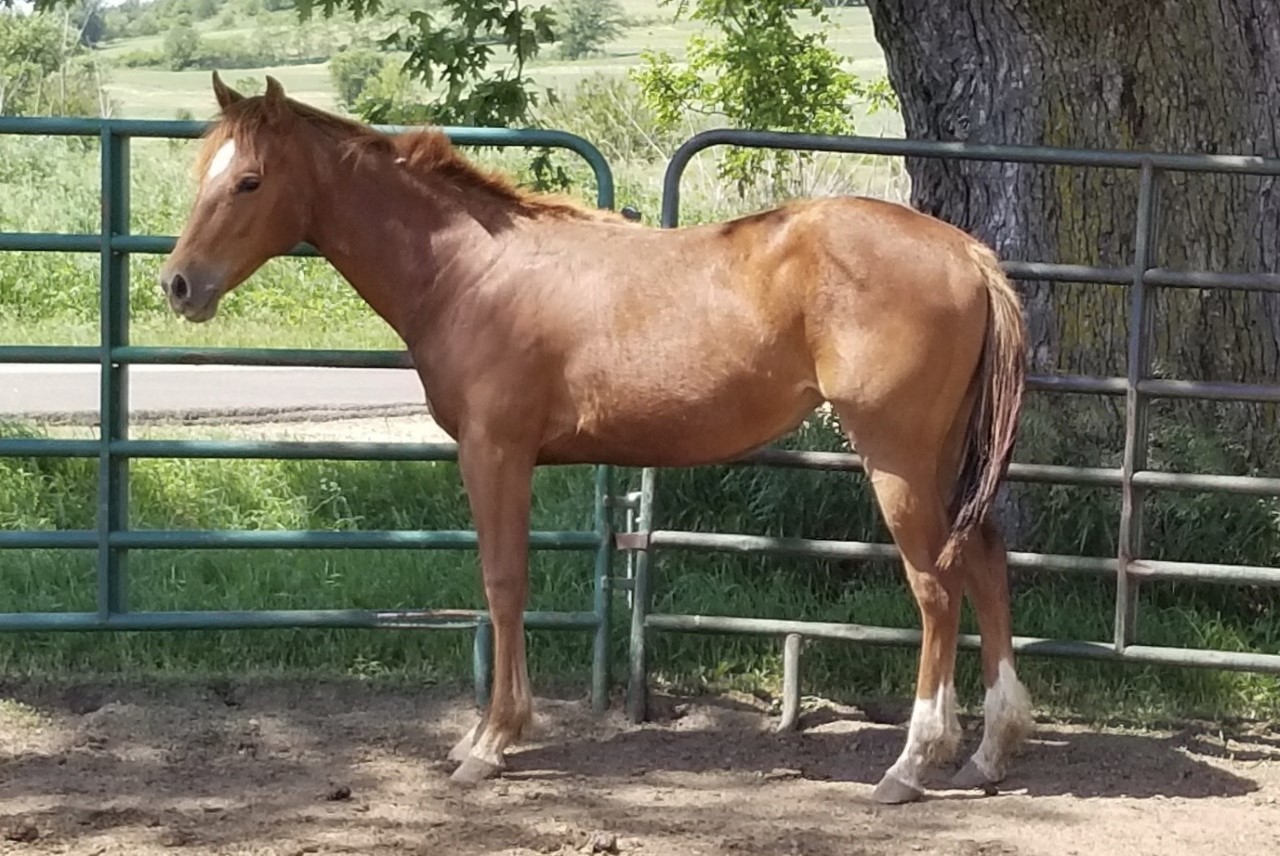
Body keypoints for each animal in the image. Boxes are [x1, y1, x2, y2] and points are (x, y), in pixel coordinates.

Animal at [159, 72, 1034, 804]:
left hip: (897, 458)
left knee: (935, 586)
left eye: (249, 180)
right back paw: (989, 754)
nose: (177, 284)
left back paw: (913, 763)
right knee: (986, 562)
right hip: (944, 458)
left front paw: (492, 741)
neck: (470, 272)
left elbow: (504, 584)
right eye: (204, 173)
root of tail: (966, 252)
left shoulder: (495, 452)